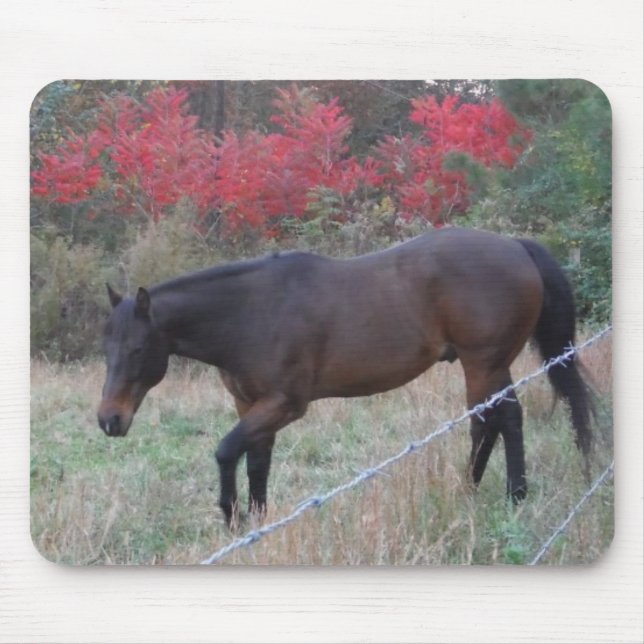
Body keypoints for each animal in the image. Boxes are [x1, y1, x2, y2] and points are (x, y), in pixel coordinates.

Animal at [98, 227, 592, 527]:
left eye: (137, 349)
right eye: (106, 349)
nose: (109, 420)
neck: (251, 313)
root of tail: (514, 245)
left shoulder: (284, 405)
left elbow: (224, 452)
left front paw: (233, 516)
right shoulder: (251, 406)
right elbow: (256, 461)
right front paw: (257, 521)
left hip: (484, 363)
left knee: (503, 419)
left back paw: (514, 496)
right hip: (487, 366)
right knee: (487, 422)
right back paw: (470, 488)